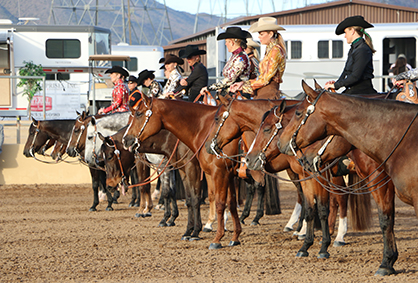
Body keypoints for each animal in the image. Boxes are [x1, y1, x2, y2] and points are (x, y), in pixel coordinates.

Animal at [121, 96, 242, 251]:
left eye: (138, 114)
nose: (126, 140)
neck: (198, 129)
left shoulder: (194, 169)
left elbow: (195, 198)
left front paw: (195, 232)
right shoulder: (182, 170)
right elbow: (188, 198)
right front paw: (188, 231)